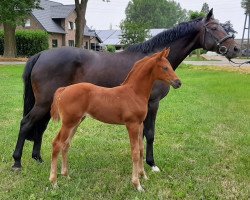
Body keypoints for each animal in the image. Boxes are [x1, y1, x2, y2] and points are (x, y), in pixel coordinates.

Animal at [12, 9, 240, 170]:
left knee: (40, 127)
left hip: (49, 103)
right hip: (43, 103)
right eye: (215, 28)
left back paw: (38, 158)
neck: (153, 64)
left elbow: (142, 134)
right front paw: (152, 163)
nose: (236, 48)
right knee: (26, 123)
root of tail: (41, 54)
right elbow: (150, 133)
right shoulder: (152, 104)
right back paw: (17, 162)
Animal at [49, 48, 182, 191]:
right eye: (165, 67)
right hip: (68, 123)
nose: (178, 83)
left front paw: (143, 176)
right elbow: (135, 152)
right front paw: (137, 184)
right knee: (57, 144)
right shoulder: (132, 124)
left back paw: (66, 175)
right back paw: (54, 182)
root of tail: (64, 89)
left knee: (65, 145)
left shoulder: (140, 124)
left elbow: (141, 149)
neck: (134, 93)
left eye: (170, 66)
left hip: (76, 122)